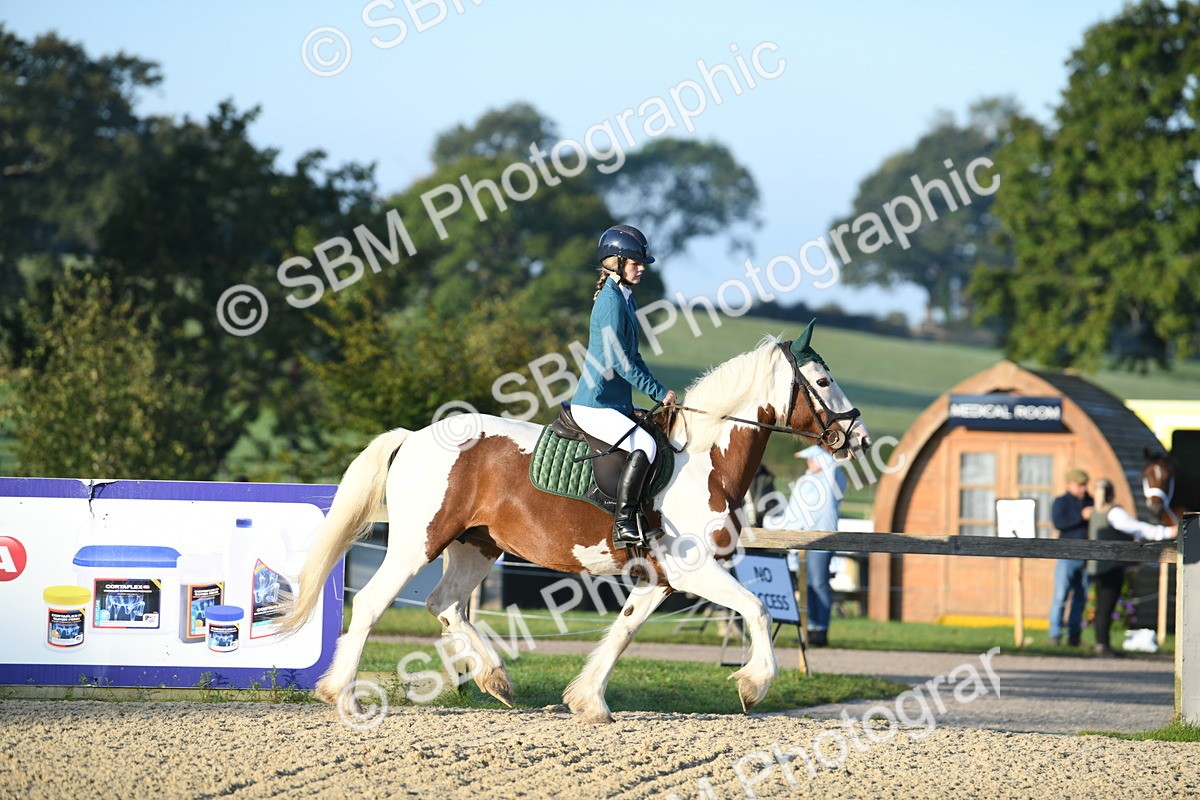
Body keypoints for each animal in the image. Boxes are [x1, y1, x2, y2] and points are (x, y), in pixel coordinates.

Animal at [280, 324, 871, 724]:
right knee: (373, 603)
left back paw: (496, 679)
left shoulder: (659, 579)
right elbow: (755, 609)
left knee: (444, 605)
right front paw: (753, 685)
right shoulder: (695, 571)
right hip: (416, 544)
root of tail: (414, 436)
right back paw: (343, 696)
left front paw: (589, 701)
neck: (703, 458)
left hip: (476, 546)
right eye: (822, 380)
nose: (859, 438)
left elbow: (624, 631)